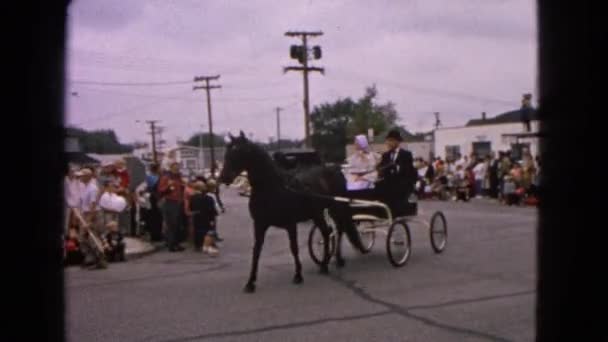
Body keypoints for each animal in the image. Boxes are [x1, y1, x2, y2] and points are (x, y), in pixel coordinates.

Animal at [220, 132, 366, 292]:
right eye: (227, 151)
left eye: (239, 152)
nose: (223, 177)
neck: (273, 188)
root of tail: (334, 168)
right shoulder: (259, 225)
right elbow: (256, 251)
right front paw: (250, 282)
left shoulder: (290, 224)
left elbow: (294, 248)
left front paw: (298, 275)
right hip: (318, 213)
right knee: (327, 232)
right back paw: (328, 262)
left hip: (336, 207)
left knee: (338, 230)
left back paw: (331, 262)